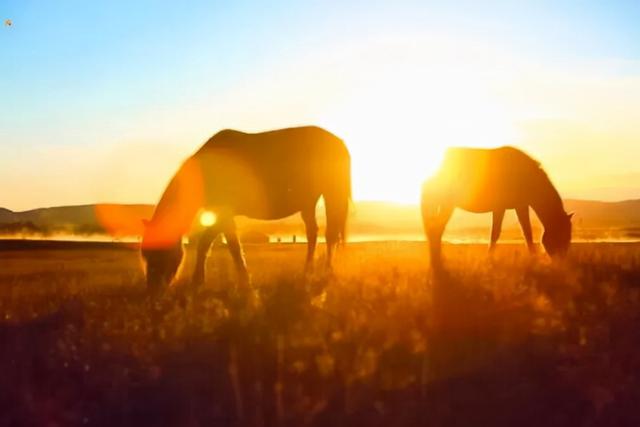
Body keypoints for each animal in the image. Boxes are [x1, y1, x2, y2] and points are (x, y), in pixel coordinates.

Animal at [141, 125, 350, 292]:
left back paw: (326, 273)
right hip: (308, 203)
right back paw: (307, 272)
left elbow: (222, 245)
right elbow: (217, 244)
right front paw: (203, 280)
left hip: (331, 196)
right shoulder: (220, 214)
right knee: (313, 233)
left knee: (330, 236)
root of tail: (339, 142)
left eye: (157, 254)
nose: (153, 289)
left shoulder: (223, 213)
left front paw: (238, 282)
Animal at [422, 147, 572, 260]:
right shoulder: (501, 207)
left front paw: (533, 256)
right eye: (561, 234)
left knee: (434, 227)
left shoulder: (520, 206)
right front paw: (489, 258)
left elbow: (527, 232)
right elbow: (496, 233)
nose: (561, 261)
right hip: (447, 203)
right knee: (436, 227)